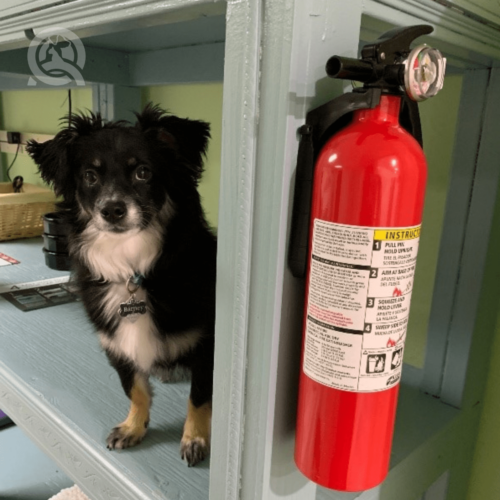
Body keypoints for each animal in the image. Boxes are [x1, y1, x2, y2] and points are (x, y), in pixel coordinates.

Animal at [26, 103, 216, 466]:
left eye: (143, 172)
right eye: (90, 176)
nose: (112, 209)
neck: (132, 269)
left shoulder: (207, 346)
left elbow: (199, 397)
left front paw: (195, 438)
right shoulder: (115, 345)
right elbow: (135, 390)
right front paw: (133, 427)